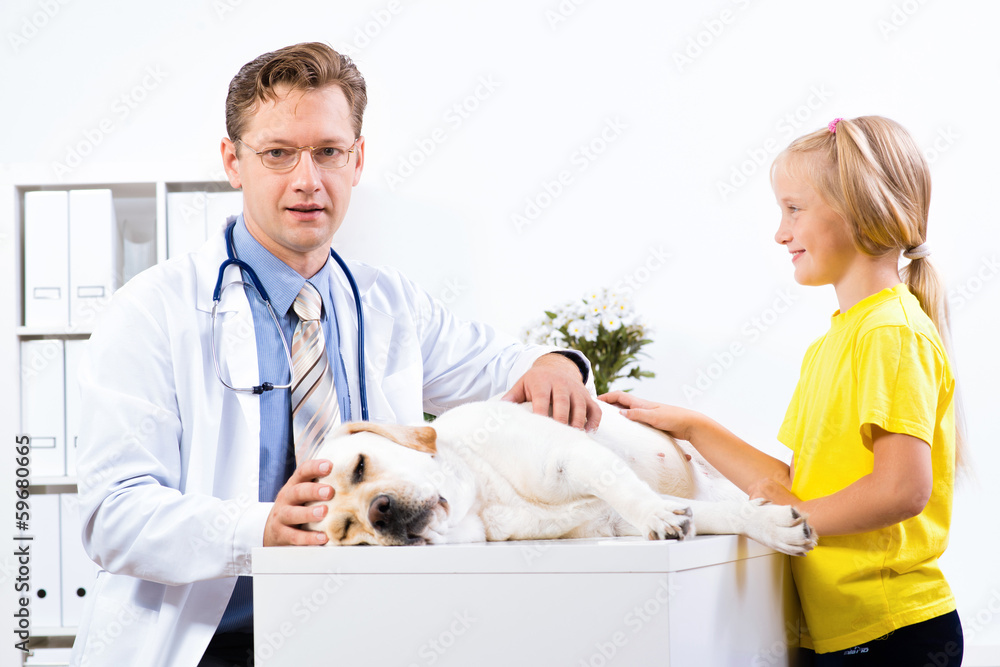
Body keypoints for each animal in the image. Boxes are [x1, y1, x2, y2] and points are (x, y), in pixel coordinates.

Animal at [302, 400, 812, 556]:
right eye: (347, 531)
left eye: (361, 466)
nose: (379, 511)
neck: (485, 498)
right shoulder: (612, 525)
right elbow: (721, 515)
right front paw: (773, 526)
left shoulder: (571, 455)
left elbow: (628, 491)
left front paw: (656, 513)